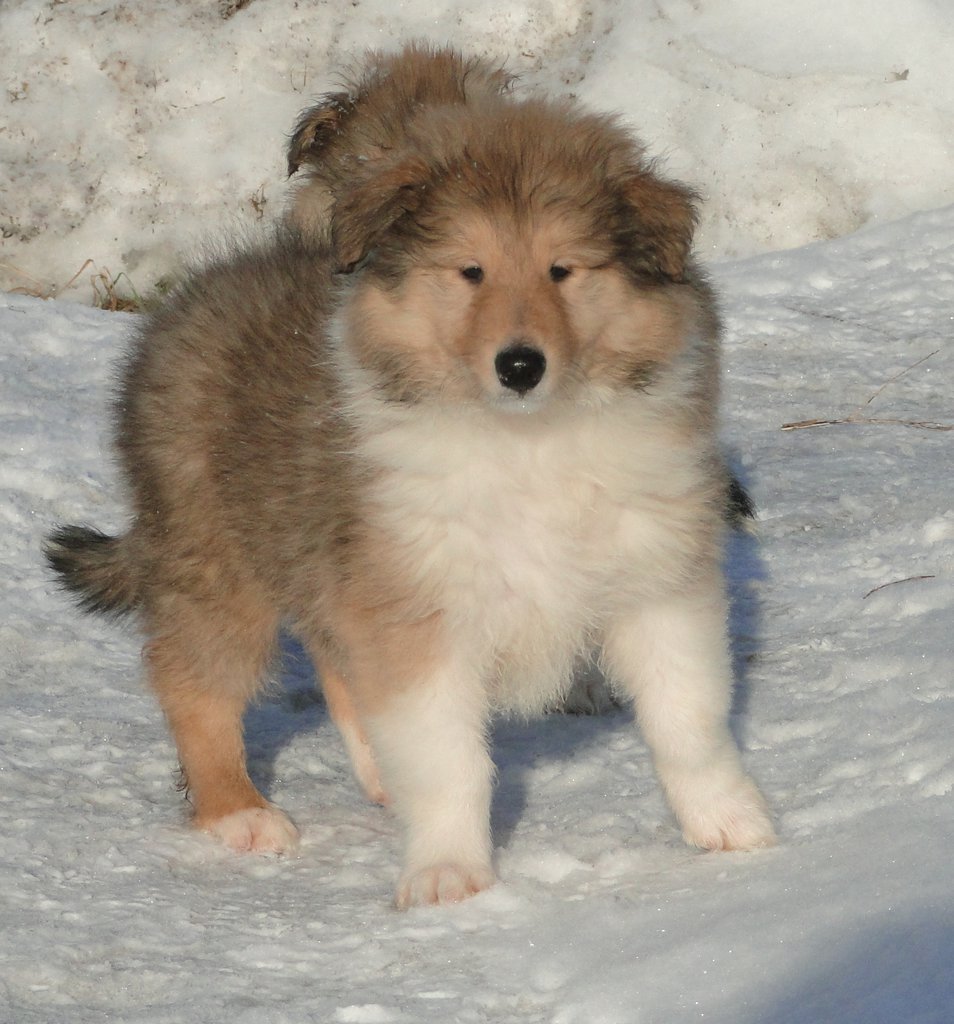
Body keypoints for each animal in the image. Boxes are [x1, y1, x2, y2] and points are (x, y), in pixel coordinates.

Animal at [46, 72, 773, 909]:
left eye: (564, 270)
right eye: (469, 271)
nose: (519, 365)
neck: (526, 440)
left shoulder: (656, 578)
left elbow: (689, 720)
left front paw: (732, 823)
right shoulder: (419, 603)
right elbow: (446, 759)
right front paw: (447, 875)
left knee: (332, 664)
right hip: (216, 557)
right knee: (192, 681)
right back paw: (240, 813)